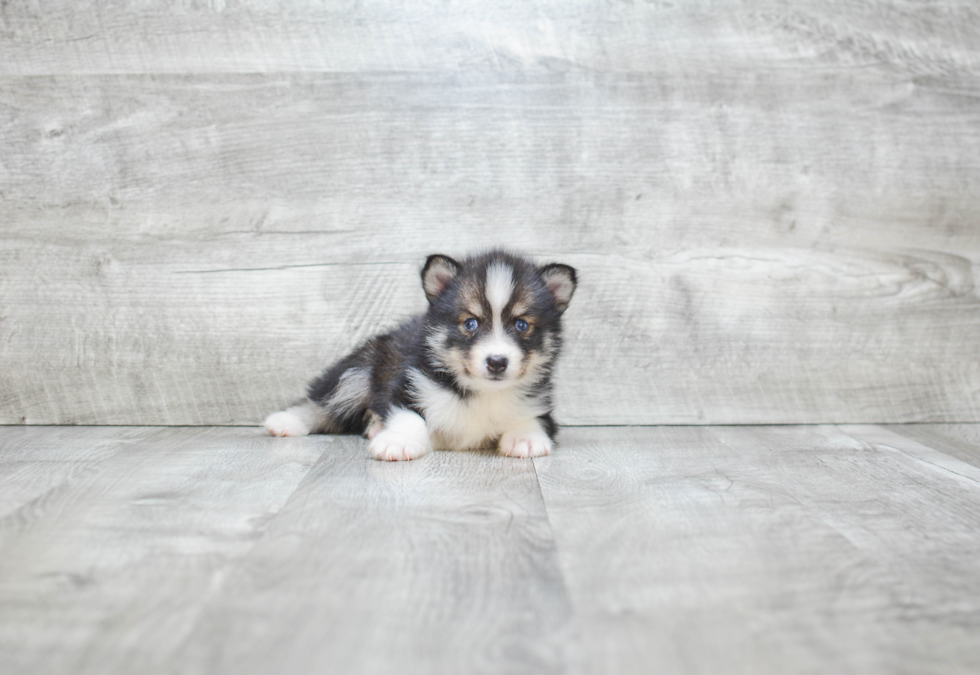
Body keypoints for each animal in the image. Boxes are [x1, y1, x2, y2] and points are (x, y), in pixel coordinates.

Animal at [264, 251, 580, 462]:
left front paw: (525, 438)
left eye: (522, 325)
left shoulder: (539, 404)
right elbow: (408, 416)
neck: (481, 393)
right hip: (359, 370)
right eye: (470, 323)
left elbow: (534, 419)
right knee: (324, 403)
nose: (497, 362)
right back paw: (287, 422)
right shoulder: (407, 385)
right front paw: (398, 441)